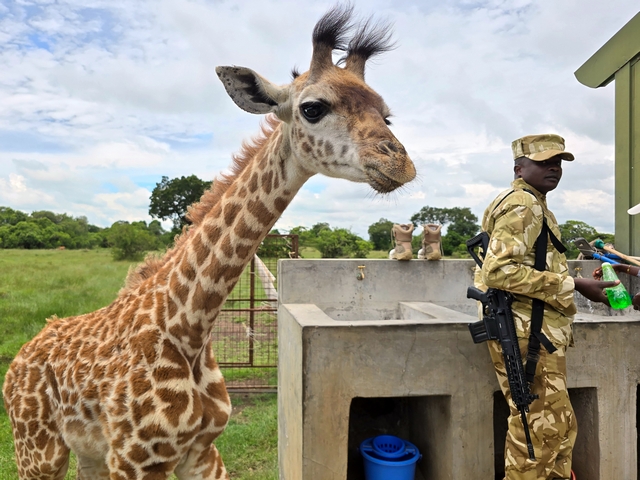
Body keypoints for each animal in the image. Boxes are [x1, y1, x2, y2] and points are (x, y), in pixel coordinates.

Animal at [3, 5, 416, 480]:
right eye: (312, 108)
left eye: (386, 116)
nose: (400, 163)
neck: (190, 329)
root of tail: (21, 354)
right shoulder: (136, 460)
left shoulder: (201, 451)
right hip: (38, 451)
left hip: (88, 452)